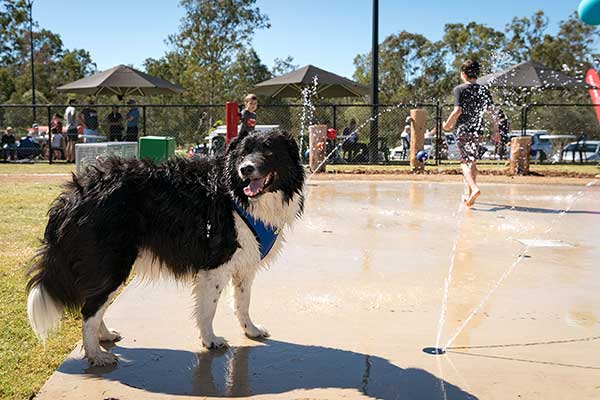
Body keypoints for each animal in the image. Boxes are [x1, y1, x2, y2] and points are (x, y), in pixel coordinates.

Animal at [27, 130, 304, 366]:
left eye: (268, 150)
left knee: (94, 304)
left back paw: (103, 337)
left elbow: (242, 303)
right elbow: (209, 308)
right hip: (112, 262)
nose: (245, 169)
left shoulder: (245, 264)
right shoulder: (216, 265)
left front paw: (251, 331)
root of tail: (77, 190)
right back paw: (96, 354)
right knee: (89, 309)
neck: (238, 195)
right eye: (243, 153)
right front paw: (210, 340)